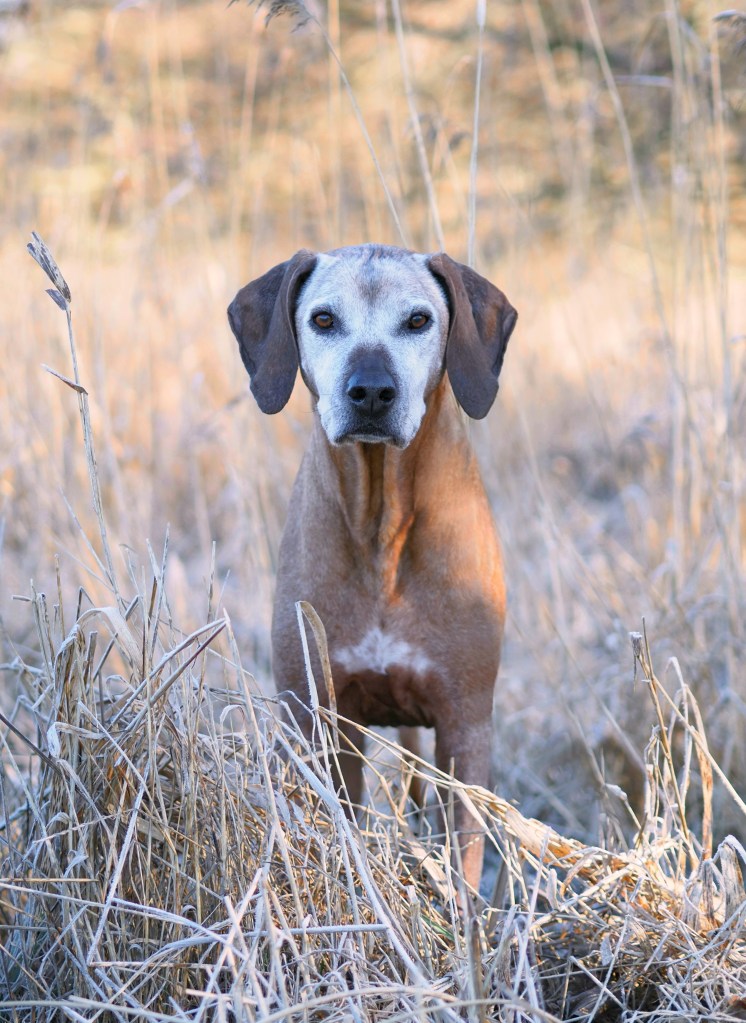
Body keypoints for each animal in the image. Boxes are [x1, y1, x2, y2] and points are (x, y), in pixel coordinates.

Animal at [228, 244, 517, 896]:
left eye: (418, 320)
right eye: (323, 319)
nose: (371, 392)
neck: (382, 527)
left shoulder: (466, 724)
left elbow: (463, 861)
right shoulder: (316, 720)